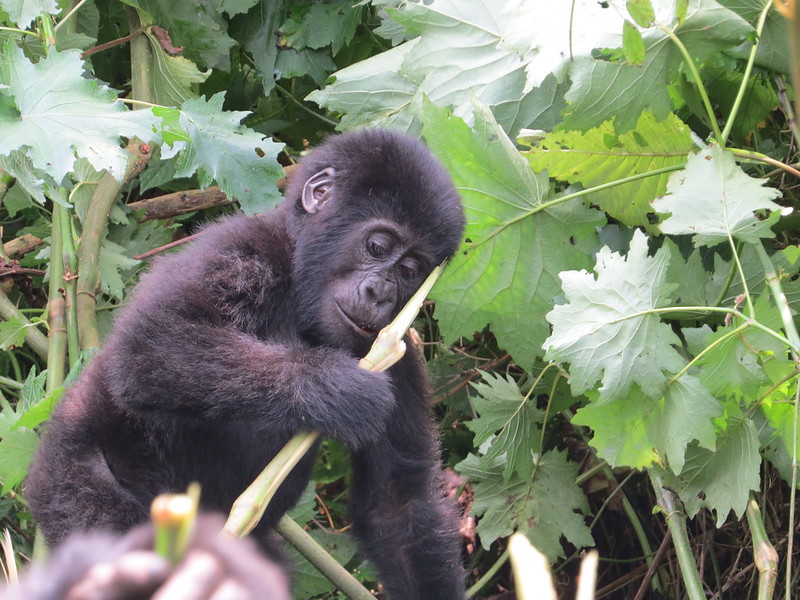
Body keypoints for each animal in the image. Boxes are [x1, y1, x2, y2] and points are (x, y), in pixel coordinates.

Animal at [26, 128, 467, 600]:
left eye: (411, 270)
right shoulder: (243, 244)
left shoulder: (396, 348)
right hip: (65, 473)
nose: (380, 294)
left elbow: (399, 508)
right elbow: (149, 343)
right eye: (378, 245)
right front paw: (333, 387)